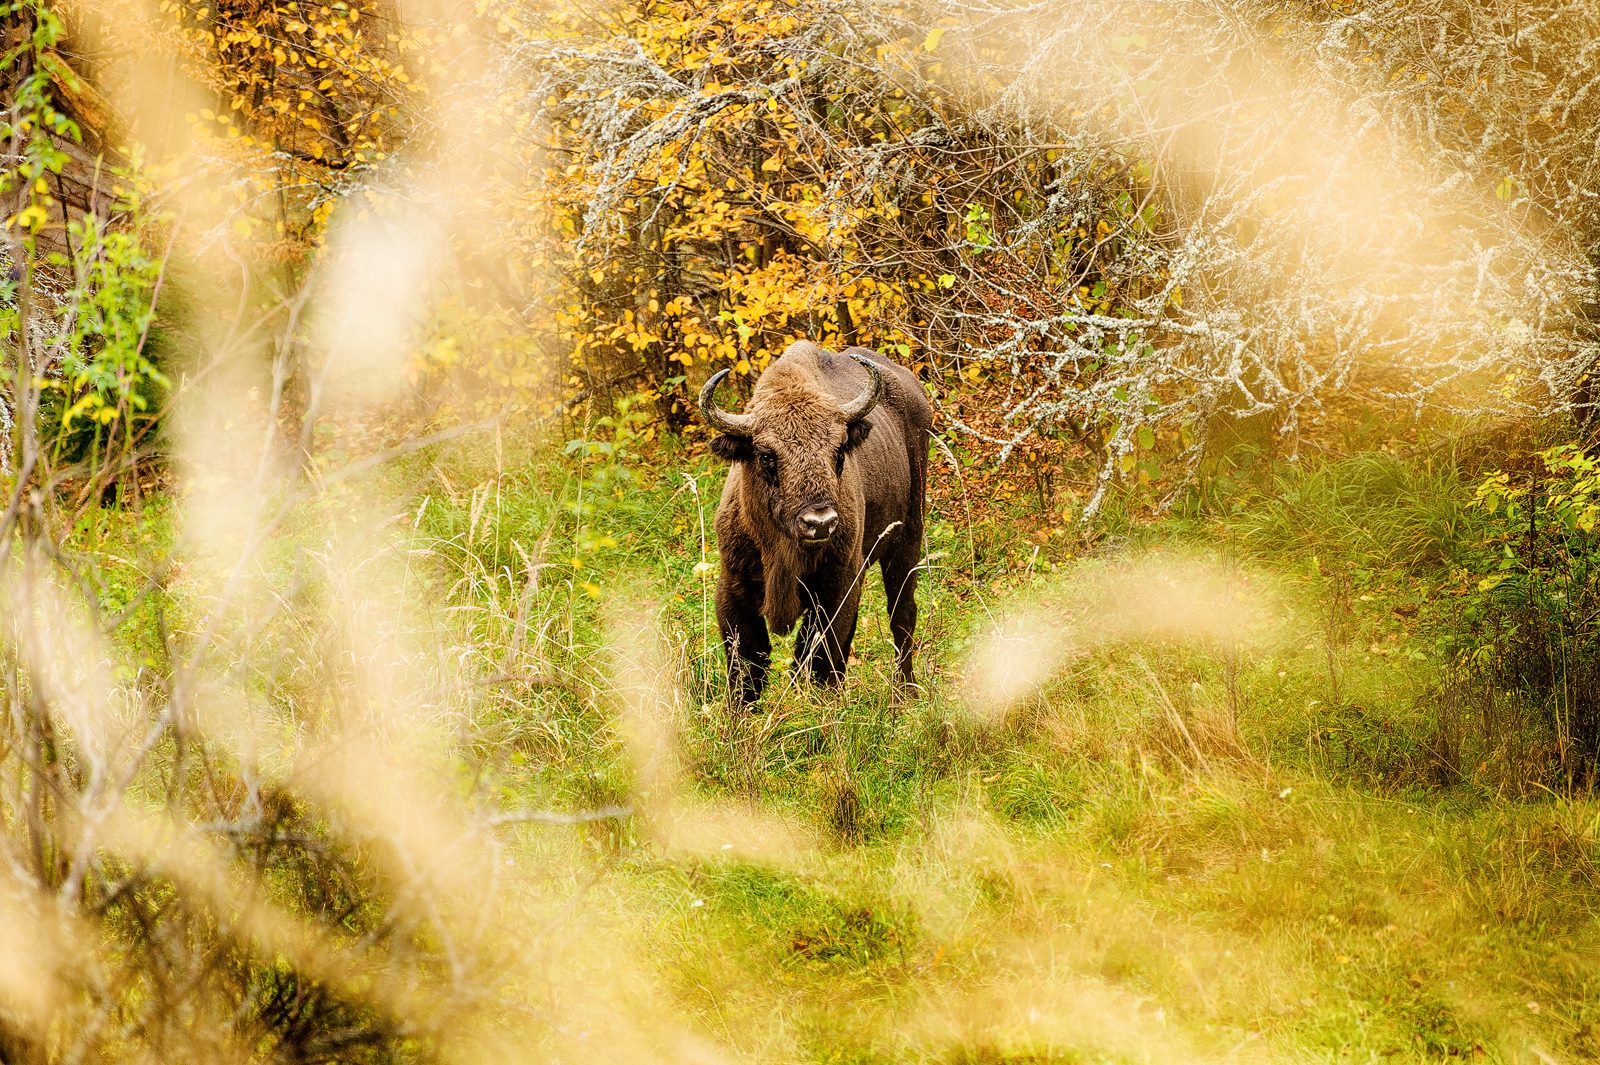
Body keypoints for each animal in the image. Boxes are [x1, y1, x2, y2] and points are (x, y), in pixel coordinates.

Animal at [697, 340, 934, 703]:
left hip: (907, 542)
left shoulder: (836, 587)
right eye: (766, 456)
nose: (820, 522)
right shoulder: (734, 587)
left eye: (839, 451)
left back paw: (904, 692)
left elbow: (816, 657)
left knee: (902, 615)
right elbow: (748, 664)